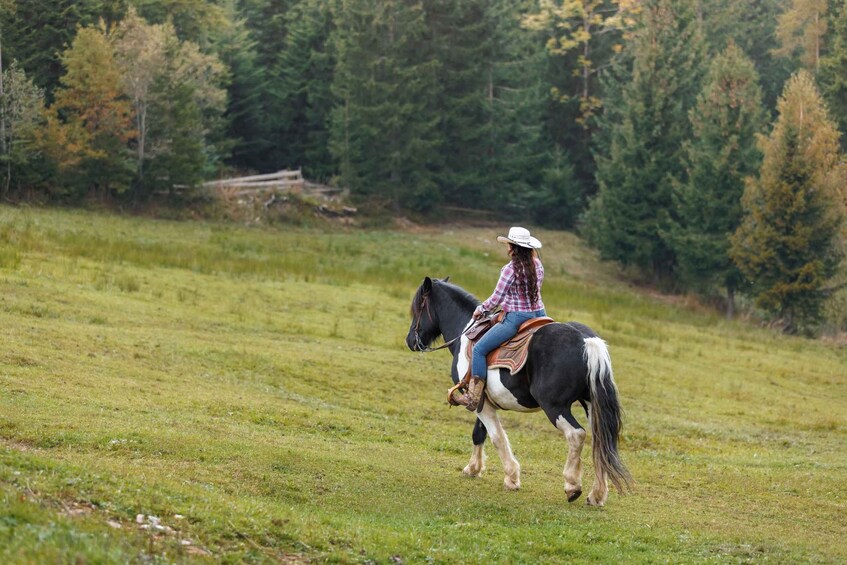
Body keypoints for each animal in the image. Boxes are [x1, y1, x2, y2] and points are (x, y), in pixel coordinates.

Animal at [406, 276, 631, 506]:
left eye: (418, 308)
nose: (410, 341)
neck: (466, 333)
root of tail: (587, 341)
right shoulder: (481, 399)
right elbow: (479, 433)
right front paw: (473, 468)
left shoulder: (479, 403)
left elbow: (497, 437)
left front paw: (511, 477)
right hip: (591, 405)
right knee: (601, 441)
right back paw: (596, 494)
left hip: (555, 407)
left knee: (576, 435)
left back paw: (572, 486)